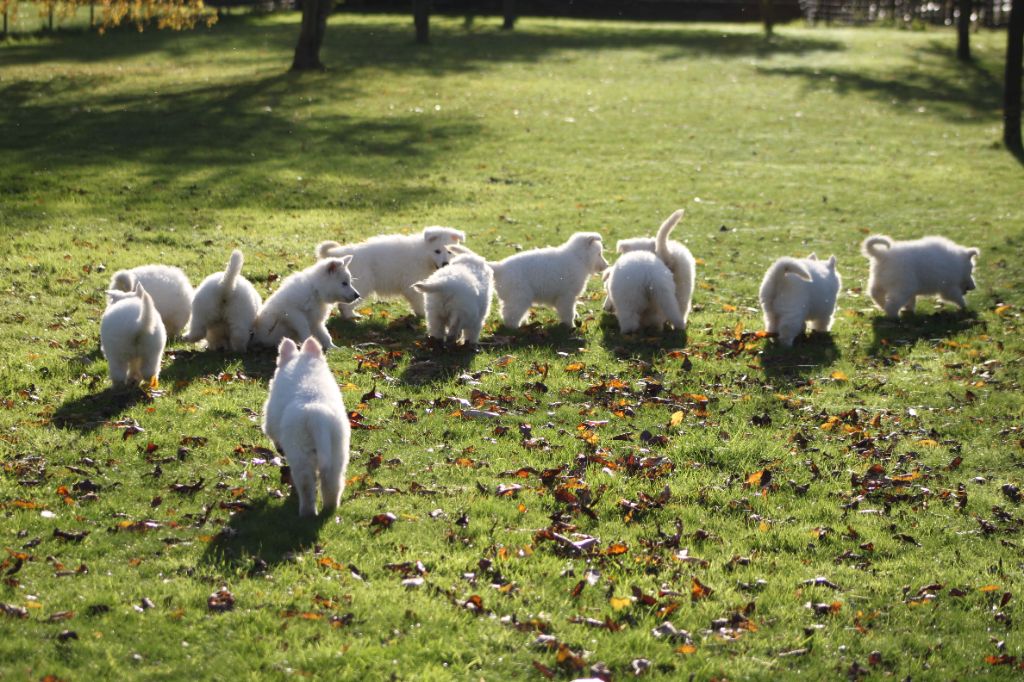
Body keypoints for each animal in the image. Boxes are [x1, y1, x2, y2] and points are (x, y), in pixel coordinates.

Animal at [262, 337, 350, 518]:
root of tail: (316, 414)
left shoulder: (271, 417)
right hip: (337, 450)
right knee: (332, 483)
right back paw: (330, 508)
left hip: (300, 453)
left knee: (306, 484)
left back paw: (306, 513)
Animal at [315, 226, 466, 318]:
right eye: (437, 251)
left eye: (450, 251)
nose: (445, 264)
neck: (423, 254)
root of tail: (341, 253)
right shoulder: (412, 283)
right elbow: (419, 300)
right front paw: (423, 314)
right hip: (361, 285)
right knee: (344, 304)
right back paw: (352, 316)